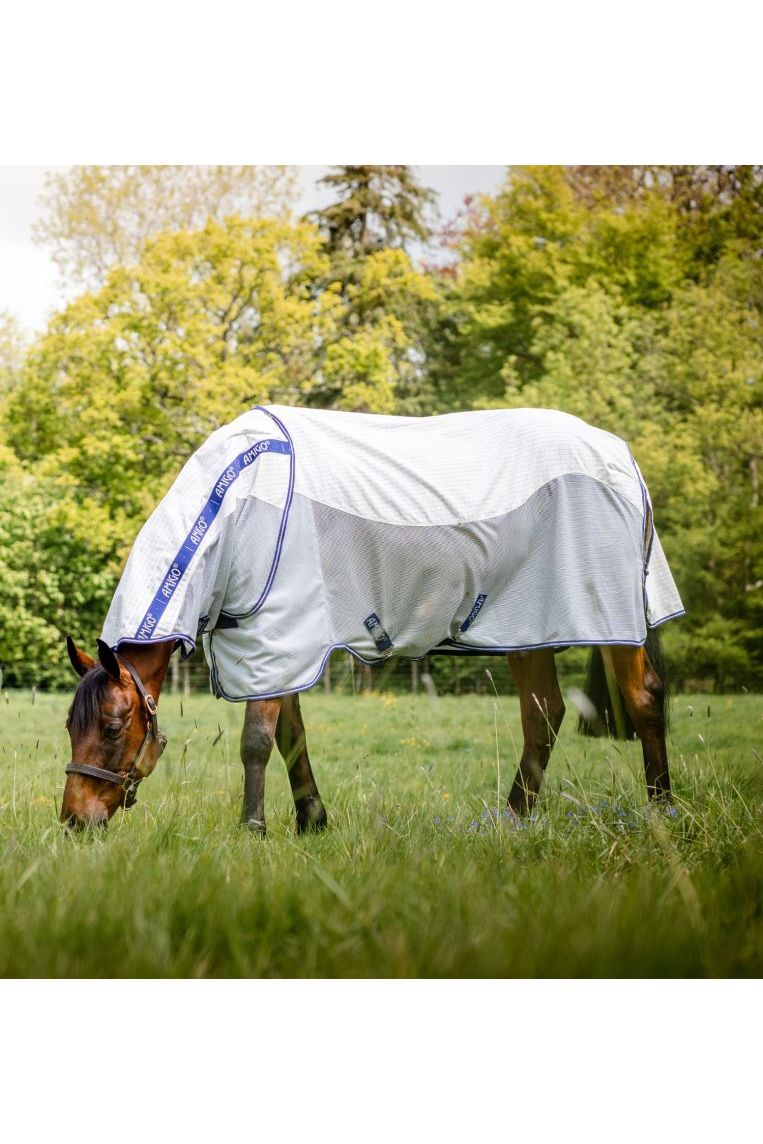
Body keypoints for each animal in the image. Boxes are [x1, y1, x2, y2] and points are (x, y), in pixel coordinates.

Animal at [61, 404, 684, 831]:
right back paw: (512, 821)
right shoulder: (281, 649)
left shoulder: (278, 637)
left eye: (113, 727)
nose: (74, 821)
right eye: (70, 726)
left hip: (607, 623)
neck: (235, 509)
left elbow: (257, 741)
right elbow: (291, 737)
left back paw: (663, 810)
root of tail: (622, 458)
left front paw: (253, 829)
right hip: (529, 630)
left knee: (643, 699)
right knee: (544, 716)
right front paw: (312, 821)